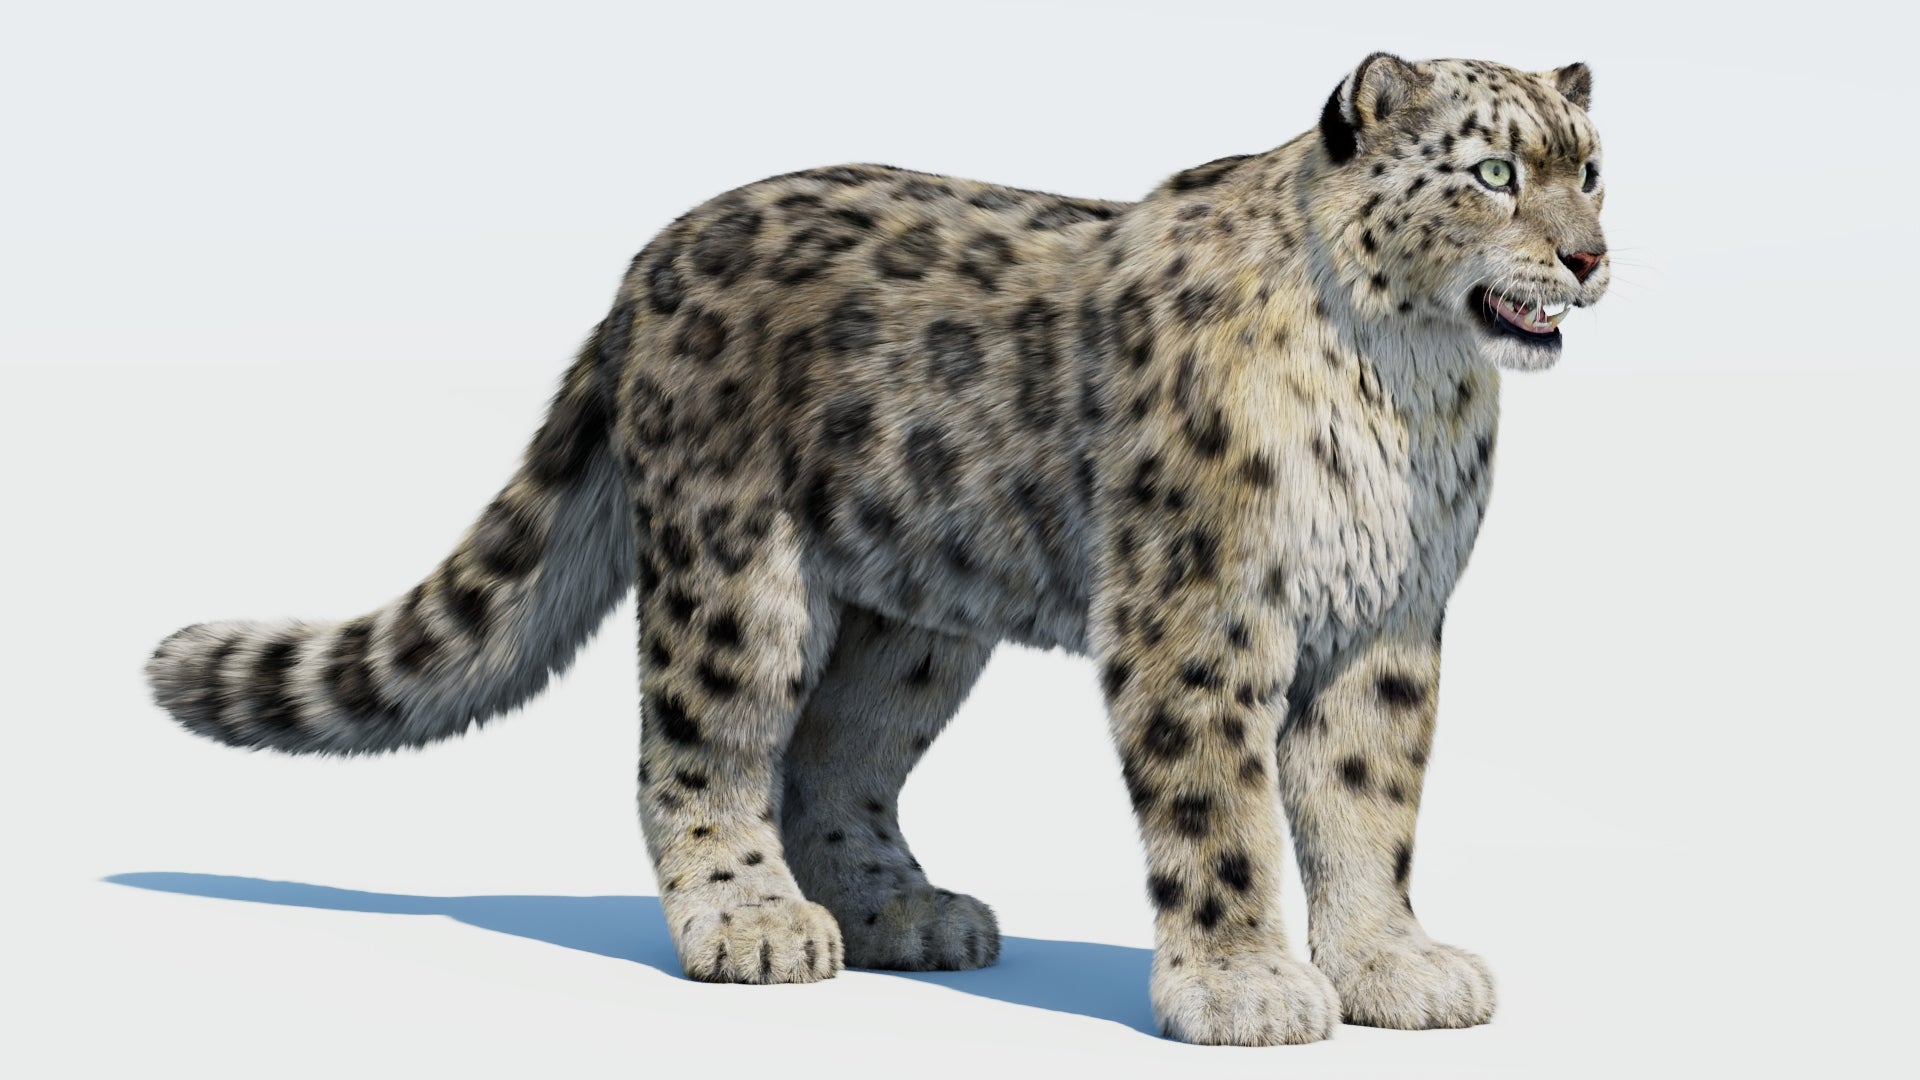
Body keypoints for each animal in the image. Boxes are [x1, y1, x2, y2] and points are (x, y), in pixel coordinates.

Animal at [145, 53, 1609, 1046]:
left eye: (1589, 167)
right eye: (1493, 174)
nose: (1592, 257)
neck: (1406, 395)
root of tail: (644, 265)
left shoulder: (1387, 622)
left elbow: (1367, 803)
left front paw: (1393, 970)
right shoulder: (1200, 613)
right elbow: (1223, 808)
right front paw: (1245, 989)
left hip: (914, 622)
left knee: (835, 757)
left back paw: (904, 911)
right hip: (738, 576)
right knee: (701, 749)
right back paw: (750, 921)